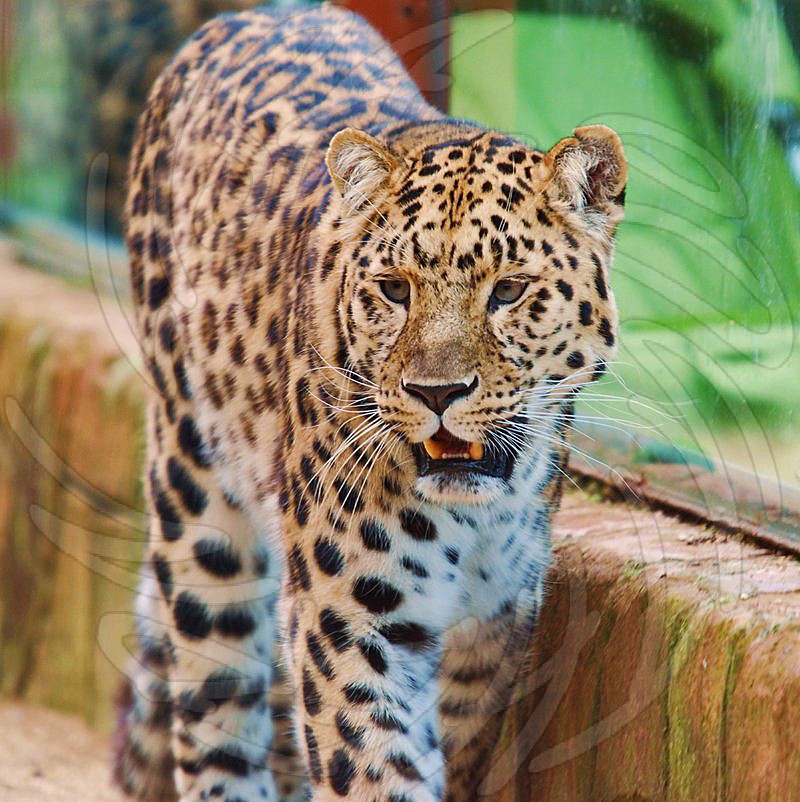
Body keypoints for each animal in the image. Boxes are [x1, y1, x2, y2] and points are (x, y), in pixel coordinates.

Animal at [114, 5, 627, 802]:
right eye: (394, 289)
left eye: (509, 291)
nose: (437, 393)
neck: (475, 515)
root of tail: (243, 15)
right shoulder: (350, 619)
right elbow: (374, 766)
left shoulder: (491, 632)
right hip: (193, 481)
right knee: (213, 692)